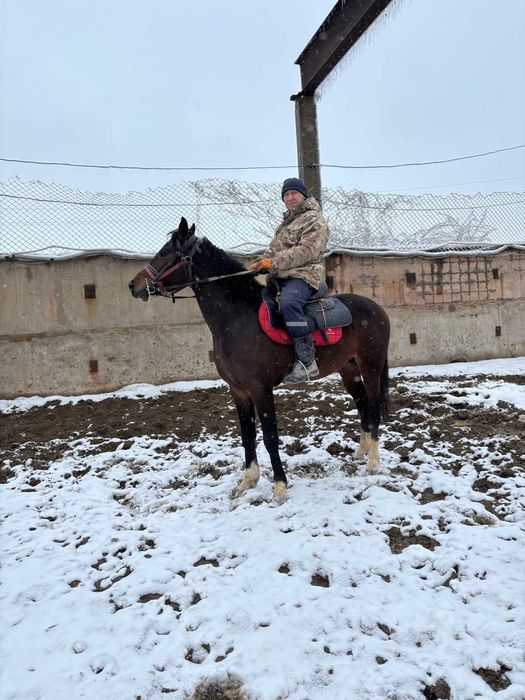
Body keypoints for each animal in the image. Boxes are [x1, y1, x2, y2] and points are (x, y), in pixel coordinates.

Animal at [129, 217, 390, 502]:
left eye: (167, 252)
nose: (134, 285)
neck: (238, 319)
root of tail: (377, 308)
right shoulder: (238, 390)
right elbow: (247, 435)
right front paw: (248, 481)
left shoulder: (260, 389)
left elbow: (269, 436)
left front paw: (279, 487)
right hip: (348, 369)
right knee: (361, 401)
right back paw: (362, 451)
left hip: (371, 367)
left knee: (373, 404)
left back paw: (373, 462)